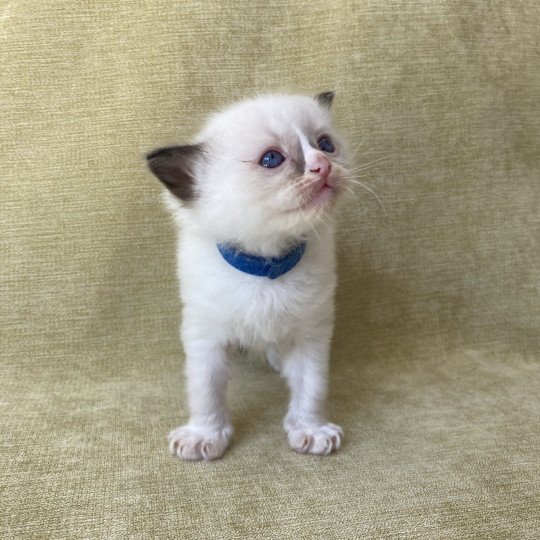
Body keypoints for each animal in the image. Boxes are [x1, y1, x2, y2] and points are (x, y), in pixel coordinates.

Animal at [148, 89, 350, 460]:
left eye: (326, 144)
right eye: (271, 159)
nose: (323, 165)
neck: (265, 266)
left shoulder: (311, 335)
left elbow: (311, 388)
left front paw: (310, 430)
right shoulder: (206, 338)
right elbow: (206, 392)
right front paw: (205, 436)